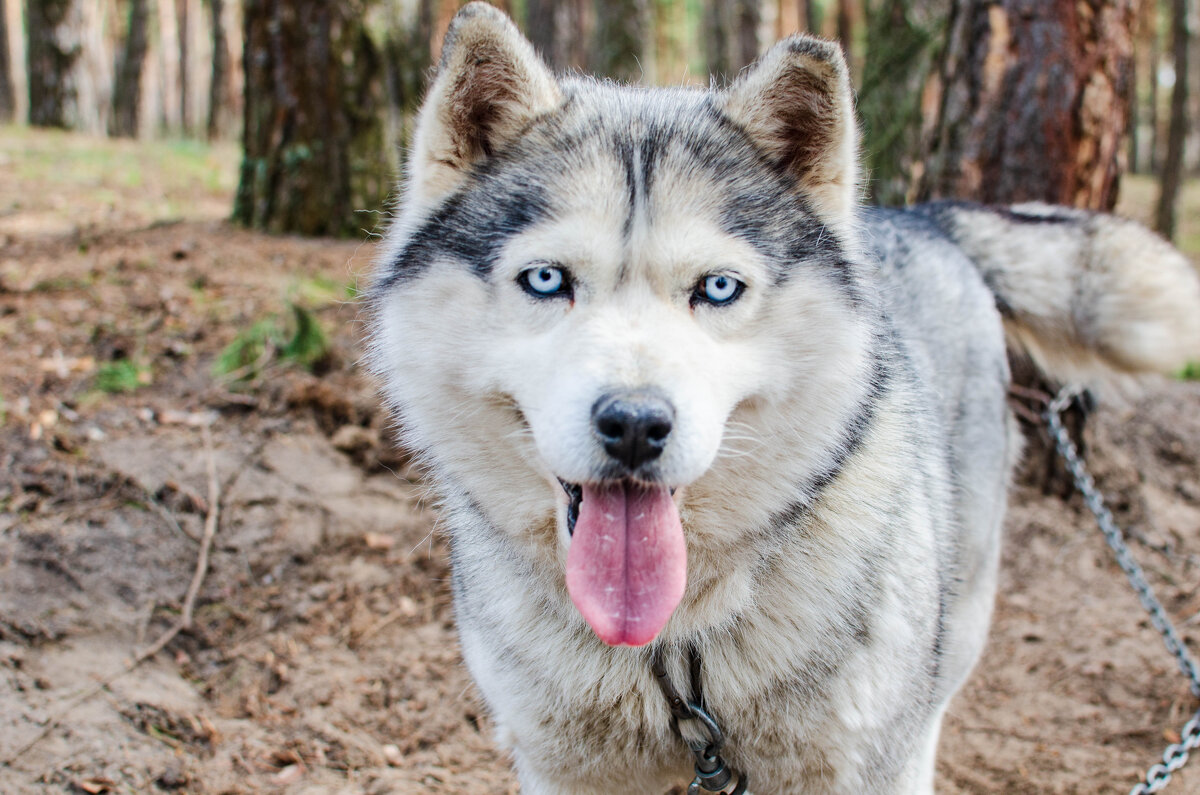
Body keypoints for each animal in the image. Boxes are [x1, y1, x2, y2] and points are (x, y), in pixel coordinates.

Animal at [364, 4, 1200, 792]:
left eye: (717, 288)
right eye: (546, 279)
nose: (634, 425)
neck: (674, 643)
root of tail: (920, 214)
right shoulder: (565, 769)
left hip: (952, 626)